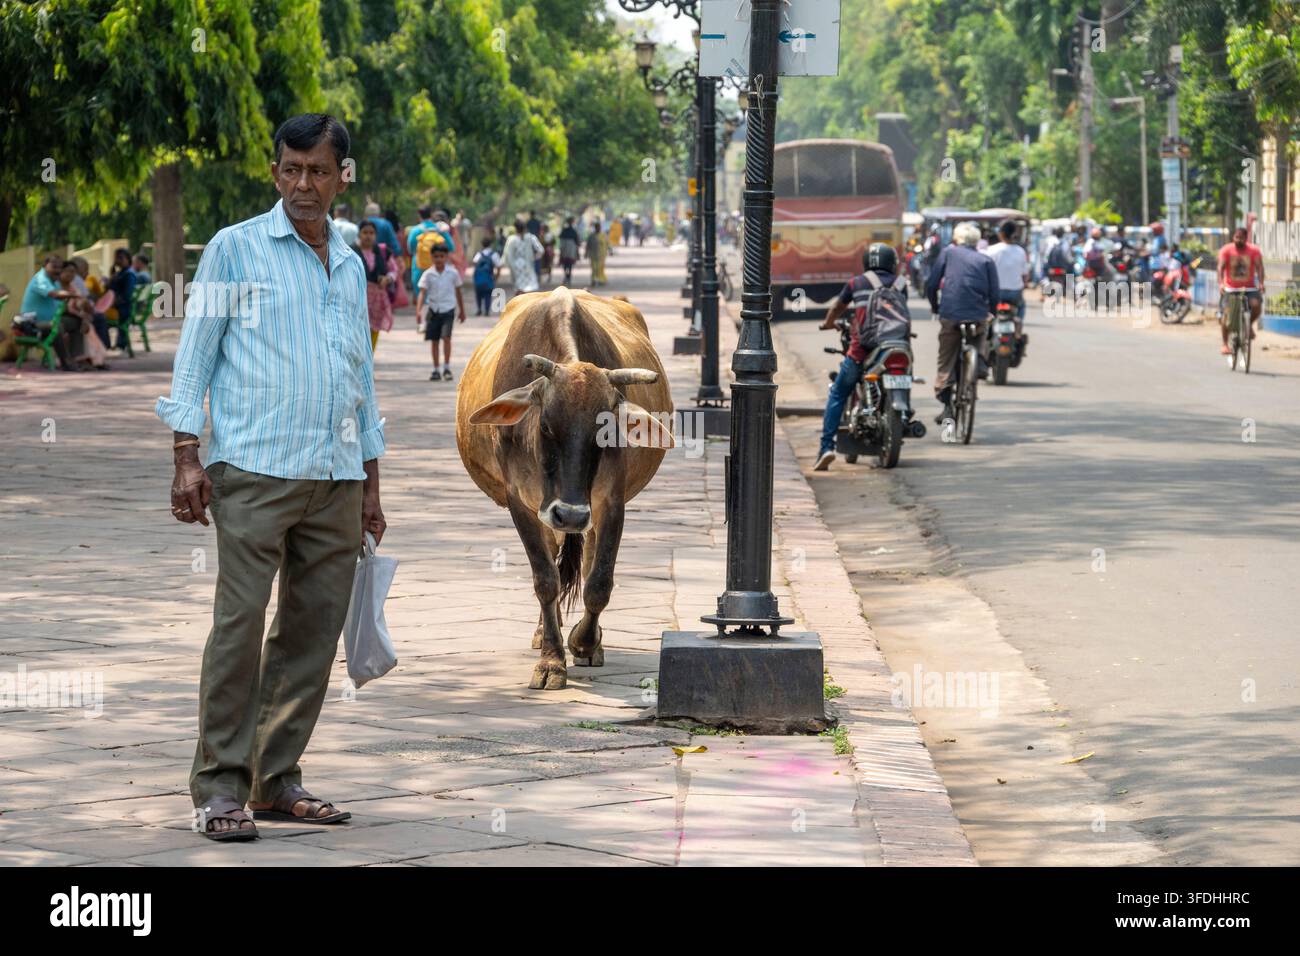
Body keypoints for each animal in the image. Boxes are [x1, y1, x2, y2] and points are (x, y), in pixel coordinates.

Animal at [456, 286, 674, 690]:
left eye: (606, 431)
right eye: (545, 425)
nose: (570, 513)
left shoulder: (610, 501)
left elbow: (599, 580)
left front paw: (584, 643)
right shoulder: (521, 502)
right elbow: (545, 578)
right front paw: (551, 662)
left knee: (585, 562)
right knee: (554, 563)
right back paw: (545, 630)